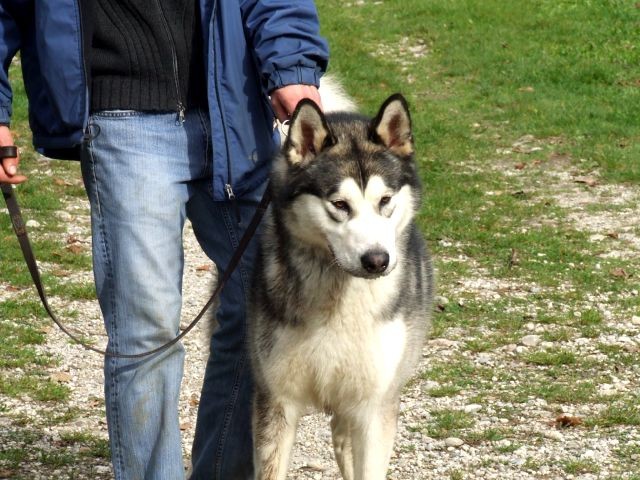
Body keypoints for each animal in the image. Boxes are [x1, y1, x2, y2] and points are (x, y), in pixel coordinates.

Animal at [248, 91, 432, 480]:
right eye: (340, 205)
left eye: (385, 201)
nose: (377, 260)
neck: (338, 301)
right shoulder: (276, 400)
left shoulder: (374, 408)